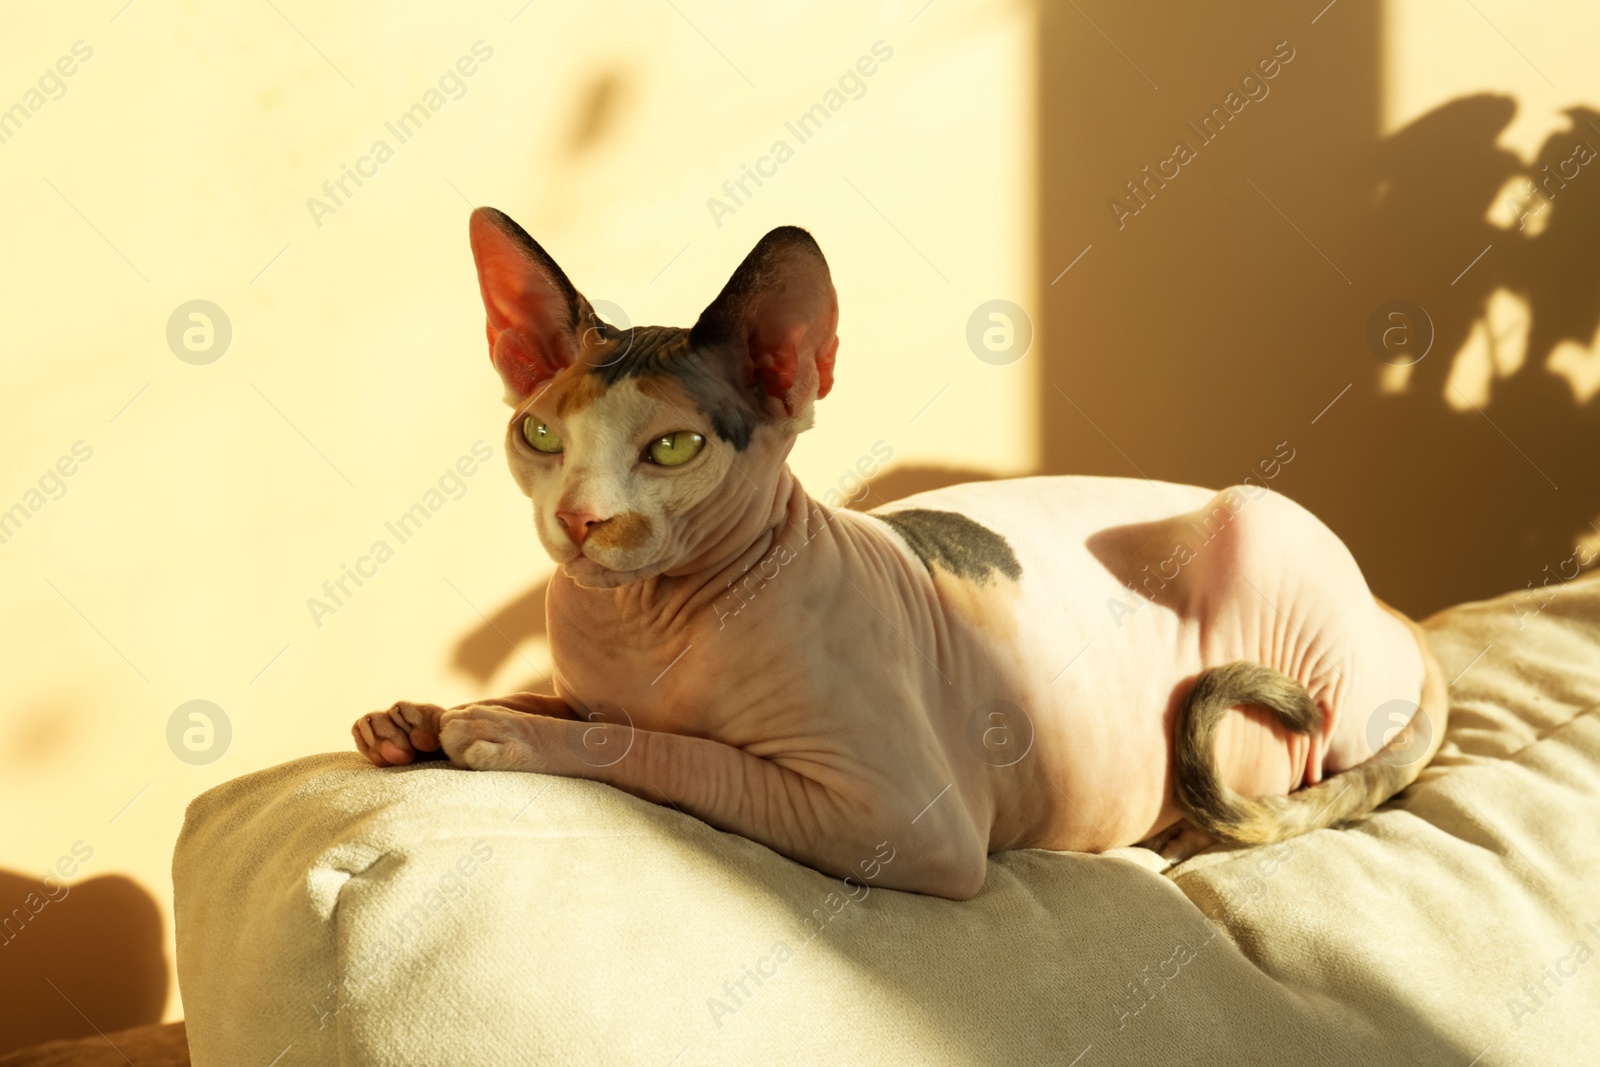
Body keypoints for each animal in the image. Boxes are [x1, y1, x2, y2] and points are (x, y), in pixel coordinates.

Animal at [353, 211, 1452, 902]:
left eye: (671, 448)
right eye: (540, 436)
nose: (580, 522)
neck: (645, 625)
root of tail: (1390, 611)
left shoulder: (905, 820)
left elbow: (671, 750)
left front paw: (500, 730)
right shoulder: (588, 676)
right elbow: (571, 703)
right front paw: (419, 716)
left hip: (1264, 536)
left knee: (1326, 762)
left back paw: (1186, 827)